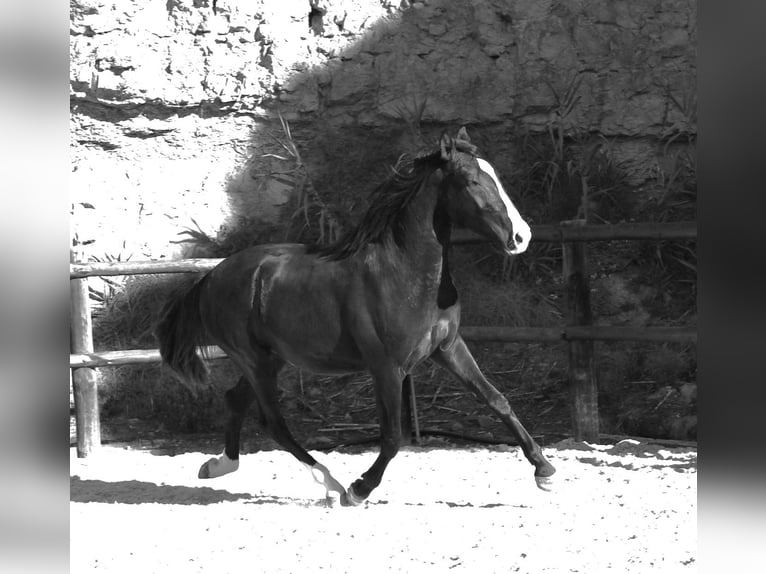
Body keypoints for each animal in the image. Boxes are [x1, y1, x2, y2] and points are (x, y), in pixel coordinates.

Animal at [154, 128, 560, 506]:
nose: (521, 237)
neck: (405, 273)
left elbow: (496, 399)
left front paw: (545, 471)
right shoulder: (387, 367)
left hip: (270, 359)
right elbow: (393, 437)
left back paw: (218, 465)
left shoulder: (447, 347)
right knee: (275, 423)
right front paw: (359, 489)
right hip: (254, 360)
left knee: (236, 400)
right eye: (473, 182)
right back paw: (332, 485)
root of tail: (211, 277)